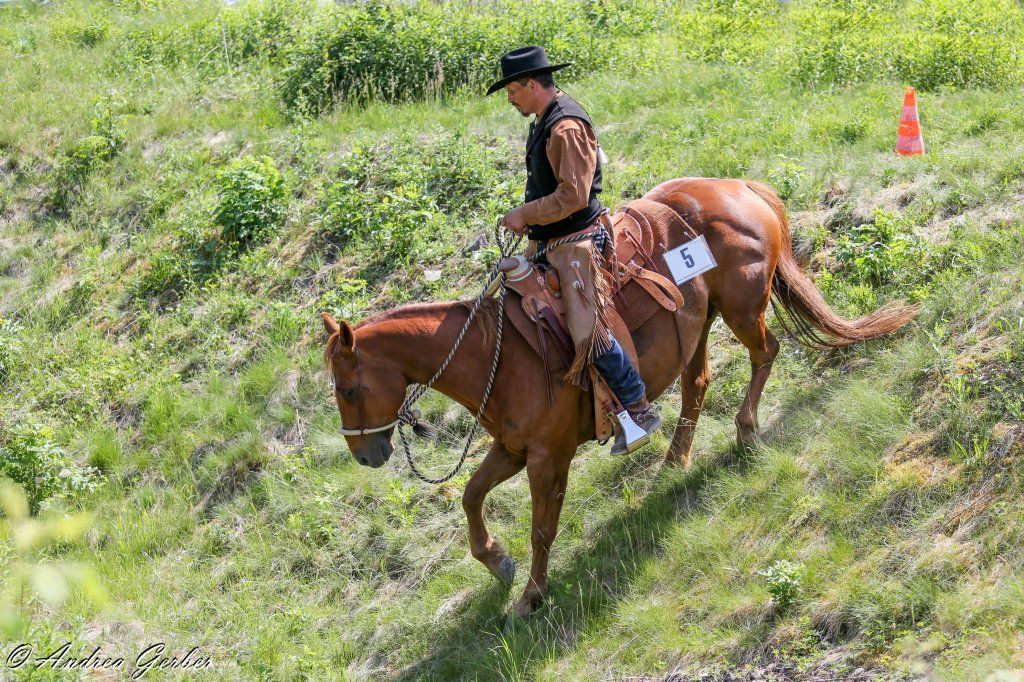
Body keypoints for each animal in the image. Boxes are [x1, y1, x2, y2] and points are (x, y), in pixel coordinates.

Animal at [321, 177, 916, 616]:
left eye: (349, 387)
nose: (364, 454)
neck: (495, 351)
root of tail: (742, 187)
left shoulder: (549, 457)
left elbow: (542, 529)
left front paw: (530, 598)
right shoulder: (512, 450)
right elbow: (470, 494)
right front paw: (496, 561)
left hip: (743, 308)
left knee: (764, 353)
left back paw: (746, 430)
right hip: (700, 324)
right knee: (697, 384)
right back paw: (675, 459)